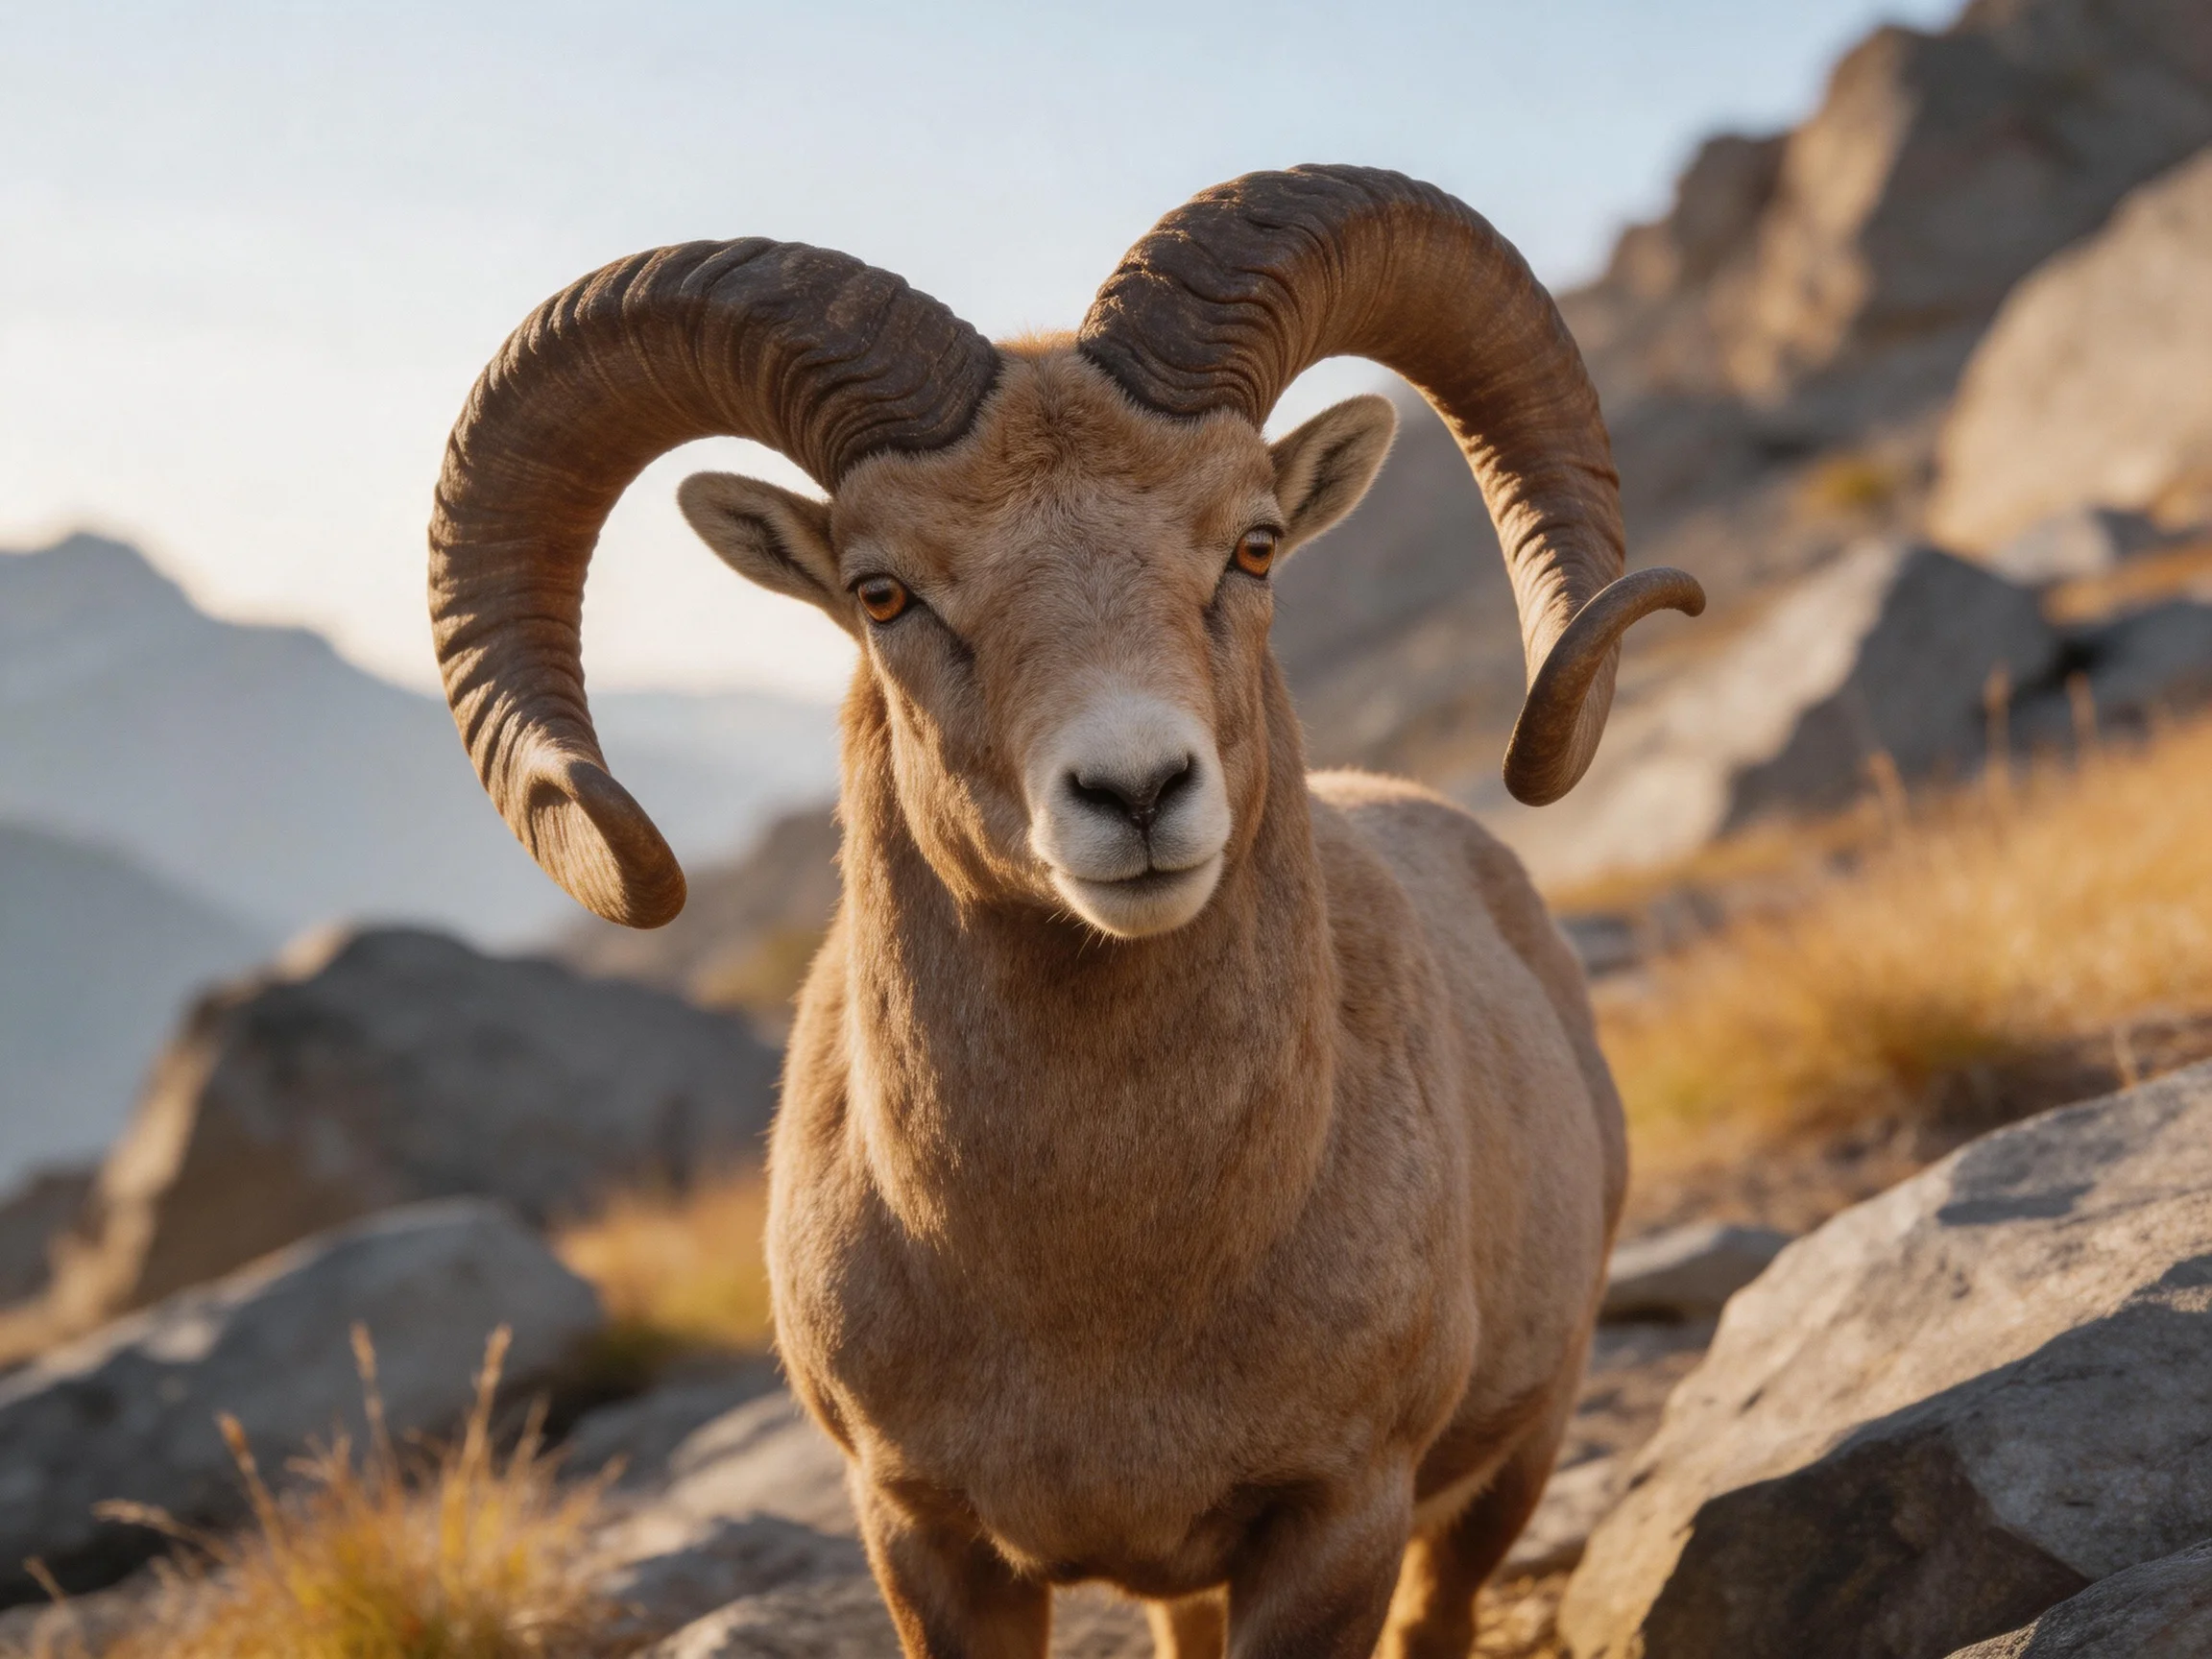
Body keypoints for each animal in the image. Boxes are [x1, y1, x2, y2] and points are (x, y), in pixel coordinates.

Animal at [428, 165, 1703, 1657]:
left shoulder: (1340, 1523)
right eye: (882, 590)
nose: (1137, 791)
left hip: (1514, 1463)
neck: (1102, 1294)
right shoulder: (927, 1539)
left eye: (1253, 543)